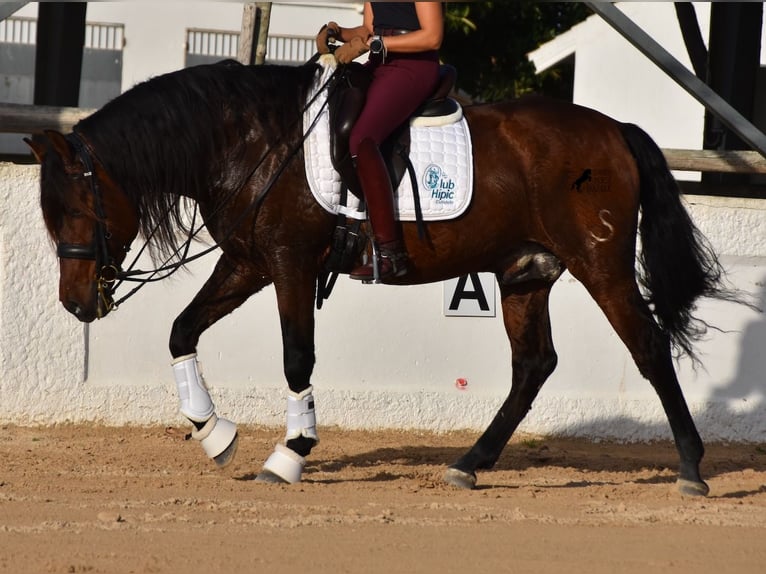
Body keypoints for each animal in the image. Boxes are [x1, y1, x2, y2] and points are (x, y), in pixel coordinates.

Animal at [25, 58, 732, 498]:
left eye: (78, 211)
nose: (75, 305)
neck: (248, 142)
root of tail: (614, 130)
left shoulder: (289, 263)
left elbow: (296, 356)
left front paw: (290, 453)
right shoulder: (248, 262)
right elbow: (181, 330)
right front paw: (214, 434)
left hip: (600, 265)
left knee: (648, 347)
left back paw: (691, 467)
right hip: (524, 272)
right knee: (534, 365)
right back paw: (469, 465)